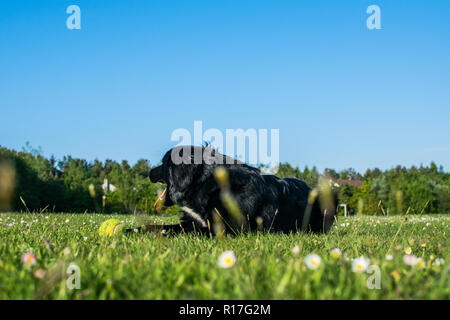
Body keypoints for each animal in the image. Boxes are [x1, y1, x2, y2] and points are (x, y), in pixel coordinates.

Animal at [139, 146, 336, 235]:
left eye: (164, 164)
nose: (149, 172)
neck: (207, 183)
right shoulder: (192, 221)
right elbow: (157, 226)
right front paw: (136, 229)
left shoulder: (224, 230)